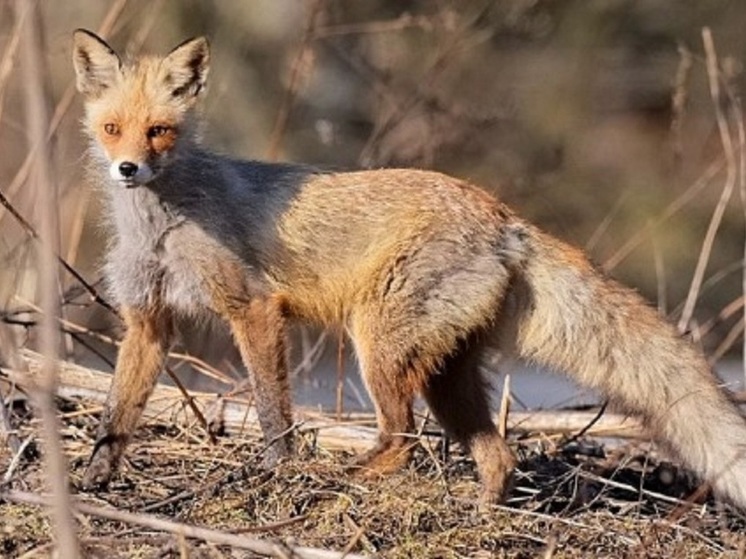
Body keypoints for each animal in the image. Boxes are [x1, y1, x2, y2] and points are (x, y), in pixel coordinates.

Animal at [70, 30, 744, 510]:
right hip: (447, 376)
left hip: (380, 349)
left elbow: (271, 409)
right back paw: (482, 516)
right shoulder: (148, 321)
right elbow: (116, 415)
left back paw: (346, 479)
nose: (127, 169)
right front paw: (95, 478)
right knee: (497, 455)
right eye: (112, 129)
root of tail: (504, 216)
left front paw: (277, 471)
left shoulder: (253, 307)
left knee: (403, 438)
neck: (163, 226)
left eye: (160, 131)